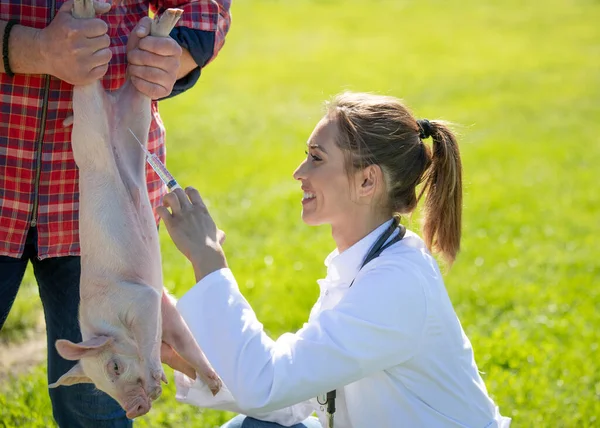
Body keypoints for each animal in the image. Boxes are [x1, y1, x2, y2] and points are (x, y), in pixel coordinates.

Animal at [48, 0, 223, 420]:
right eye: (100, 387)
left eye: (114, 367)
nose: (134, 410)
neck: (105, 321)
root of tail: (111, 107)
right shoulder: (162, 305)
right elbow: (183, 345)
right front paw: (209, 384)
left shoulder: (141, 299)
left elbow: (157, 341)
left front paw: (163, 377)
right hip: (132, 112)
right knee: (133, 79)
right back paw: (158, 20)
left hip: (89, 129)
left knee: (95, 89)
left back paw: (98, 12)